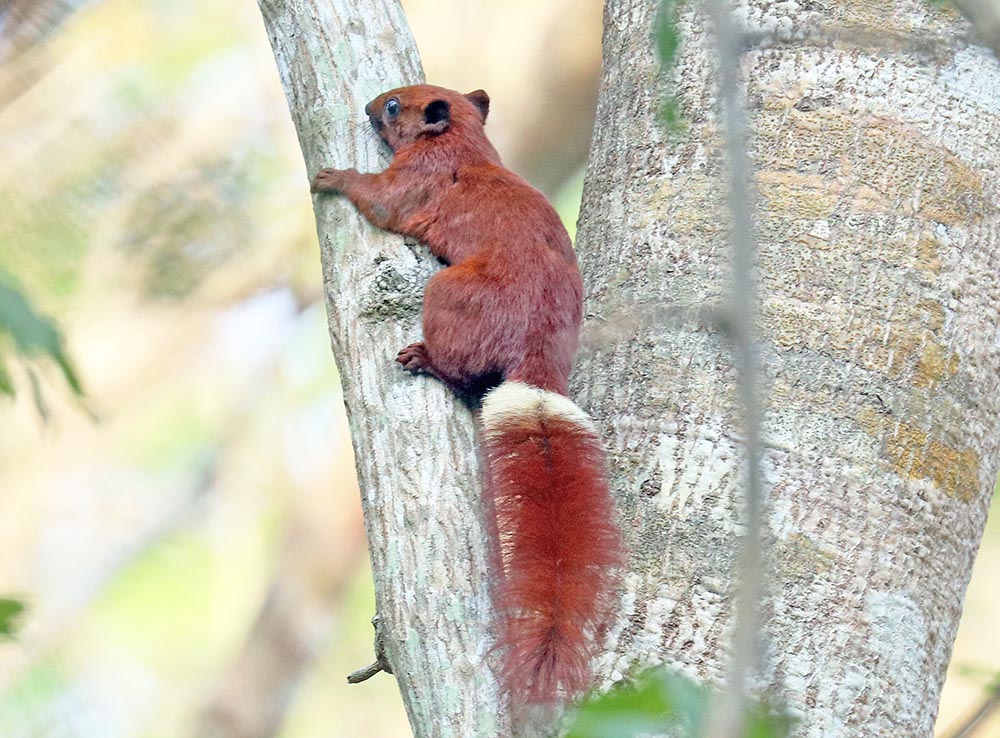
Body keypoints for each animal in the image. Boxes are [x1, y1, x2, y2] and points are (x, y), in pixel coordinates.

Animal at [314, 83, 624, 704]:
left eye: (394, 106)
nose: (370, 105)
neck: (465, 143)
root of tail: (537, 363)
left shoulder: (414, 180)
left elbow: (377, 199)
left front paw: (332, 177)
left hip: (446, 291)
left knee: (461, 373)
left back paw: (426, 361)